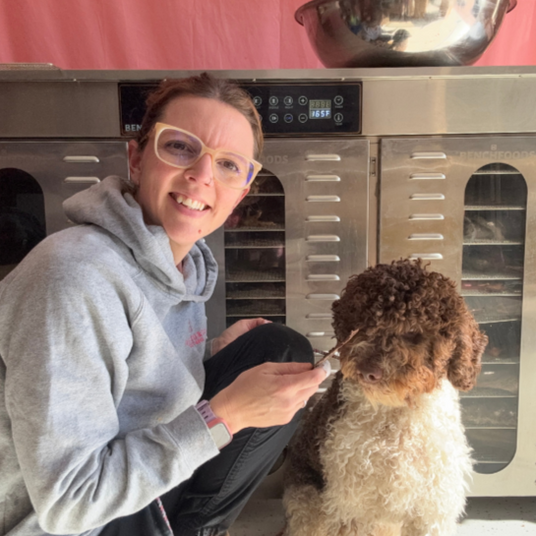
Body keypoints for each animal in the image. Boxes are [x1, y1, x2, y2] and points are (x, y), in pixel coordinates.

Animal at [281, 259, 488, 536]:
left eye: (413, 332)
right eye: (363, 324)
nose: (369, 372)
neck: (395, 416)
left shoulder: (432, 507)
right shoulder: (352, 507)